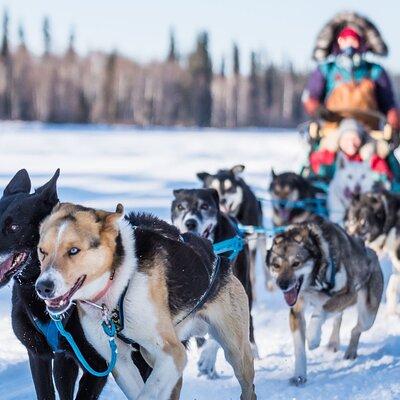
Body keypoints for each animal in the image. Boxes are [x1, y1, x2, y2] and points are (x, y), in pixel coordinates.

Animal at [268, 217, 382, 386]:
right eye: (276, 265)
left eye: (296, 263)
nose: (282, 285)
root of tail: (368, 251)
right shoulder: (296, 310)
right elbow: (299, 349)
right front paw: (299, 375)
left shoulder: (349, 294)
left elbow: (321, 310)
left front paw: (313, 337)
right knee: (338, 318)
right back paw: (334, 343)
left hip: (367, 315)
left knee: (355, 329)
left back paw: (350, 351)